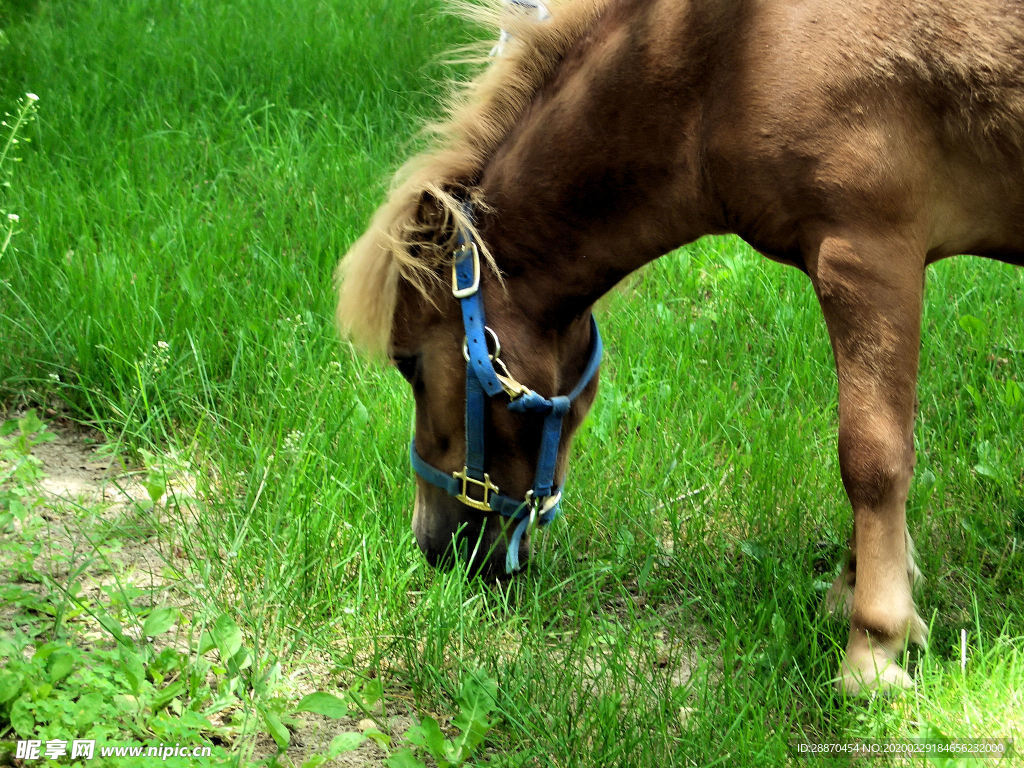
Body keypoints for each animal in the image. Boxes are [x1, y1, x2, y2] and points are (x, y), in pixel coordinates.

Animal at [337, 0, 1024, 696]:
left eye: (409, 363)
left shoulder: (865, 254)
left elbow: (872, 457)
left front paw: (873, 649)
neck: (722, 59)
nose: (430, 545)